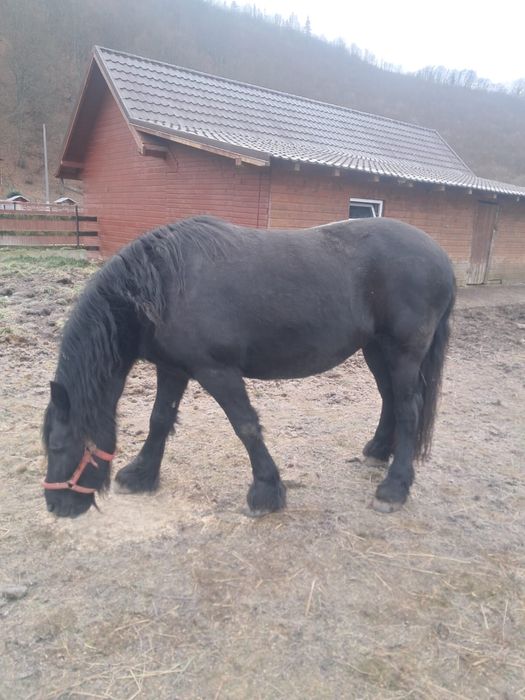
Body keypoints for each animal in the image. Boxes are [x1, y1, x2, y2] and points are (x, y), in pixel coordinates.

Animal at [42, 215, 455, 518]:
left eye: (59, 446)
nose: (57, 506)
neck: (165, 284)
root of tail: (440, 255)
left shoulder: (217, 371)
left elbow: (245, 426)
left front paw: (266, 492)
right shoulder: (173, 369)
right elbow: (159, 419)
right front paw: (140, 475)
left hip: (403, 352)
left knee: (408, 410)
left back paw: (394, 488)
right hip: (376, 349)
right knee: (390, 400)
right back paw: (377, 452)